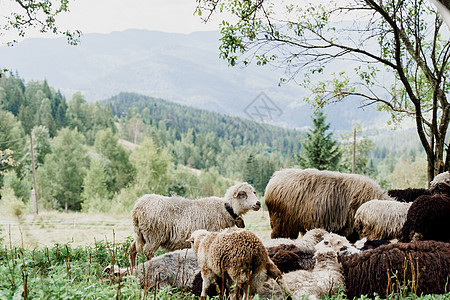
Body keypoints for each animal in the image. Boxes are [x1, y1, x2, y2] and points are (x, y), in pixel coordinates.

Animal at [127, 182, 260, 268]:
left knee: (132, 249)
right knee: (148, 253)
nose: (258, 203)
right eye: (242, 194)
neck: (226, 209)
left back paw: (132, 271)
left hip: (141, 234)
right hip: (154, 235)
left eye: (254, 192)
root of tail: (137, 208)